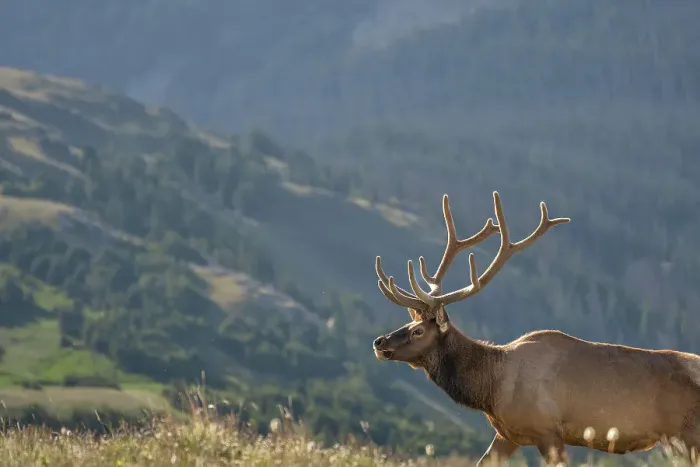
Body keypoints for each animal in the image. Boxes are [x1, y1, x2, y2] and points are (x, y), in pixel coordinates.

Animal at [372, 191, 700, 466]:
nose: (379, 342)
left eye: (418, 331)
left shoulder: (547, 430)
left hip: (688, 433)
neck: (491, 388)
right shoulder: (507, 434)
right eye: (409, 322)